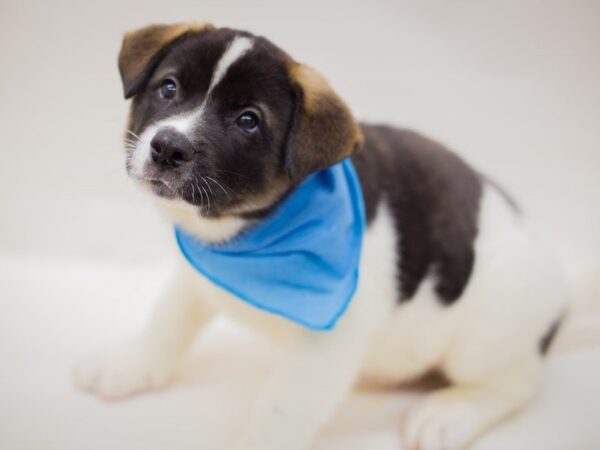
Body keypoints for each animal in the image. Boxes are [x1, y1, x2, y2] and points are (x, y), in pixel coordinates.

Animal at [75, 23, 568, 450]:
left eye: (248, 120)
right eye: (169, 88)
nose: (168, 147)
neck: (241, 231)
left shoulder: (327, 344)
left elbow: (279, 408)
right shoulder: (197, 276)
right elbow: (167, 320)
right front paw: (131, 363)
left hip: (489, 331)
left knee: (516, 383)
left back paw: (452, 412)